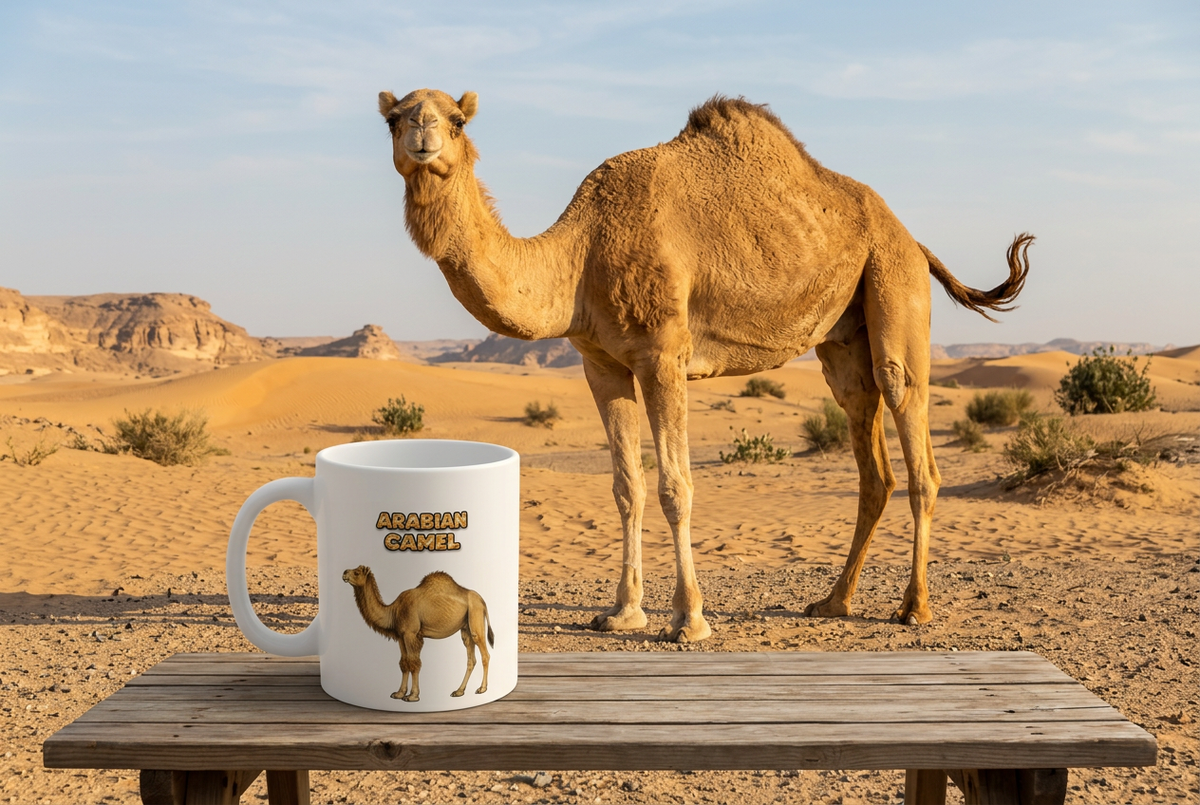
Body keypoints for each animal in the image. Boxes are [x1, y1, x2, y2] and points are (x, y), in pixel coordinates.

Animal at [341, 566, 493, 702]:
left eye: (356, 572)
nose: (344, 573)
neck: (393, 611)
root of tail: (483, 601)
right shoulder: (401, 636)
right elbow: (404, 663)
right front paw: (399, 693)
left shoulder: (411, 634)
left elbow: (414, 663)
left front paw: (412, 696)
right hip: (466, 628)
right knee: (471, 658)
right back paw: (458, 691)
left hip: (475, 615)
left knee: (485, 654)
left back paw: (482, 689)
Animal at [378, 88, 1031, 643]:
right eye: (394, 117)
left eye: (457, 120)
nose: (423, 135)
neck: (582, 252)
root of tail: (914, 240)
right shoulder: (601, 364)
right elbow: (627, 486)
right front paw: (622, 613)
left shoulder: (663, 354)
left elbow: (676, 486)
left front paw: (688, 620)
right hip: (845, 338)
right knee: (873, 461)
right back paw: (832, 602)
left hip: (894, 283)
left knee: (914, 440)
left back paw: (914, 608)